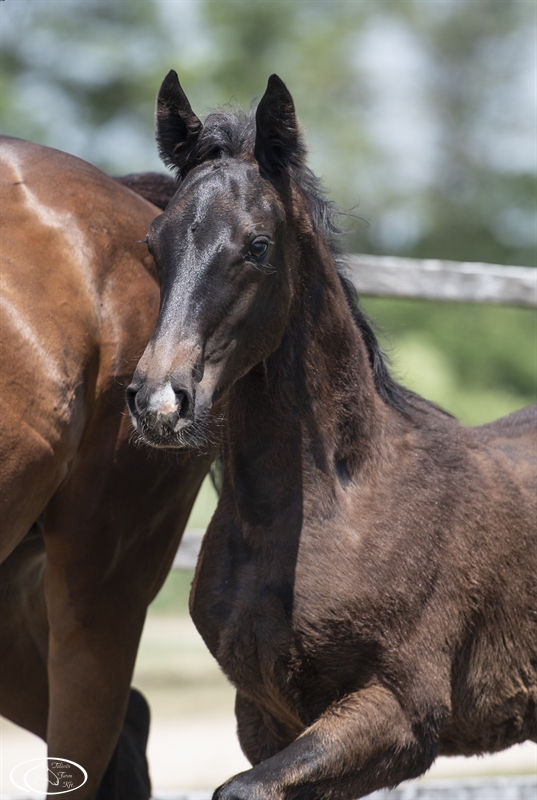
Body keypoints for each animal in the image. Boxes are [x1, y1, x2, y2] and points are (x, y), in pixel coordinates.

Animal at [127, 72, 532, 796]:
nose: (158, 403)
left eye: (258, 246)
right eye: (154, 244)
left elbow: (240, 787)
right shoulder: (263, 715)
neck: (342, 503)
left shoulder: (401, 712)